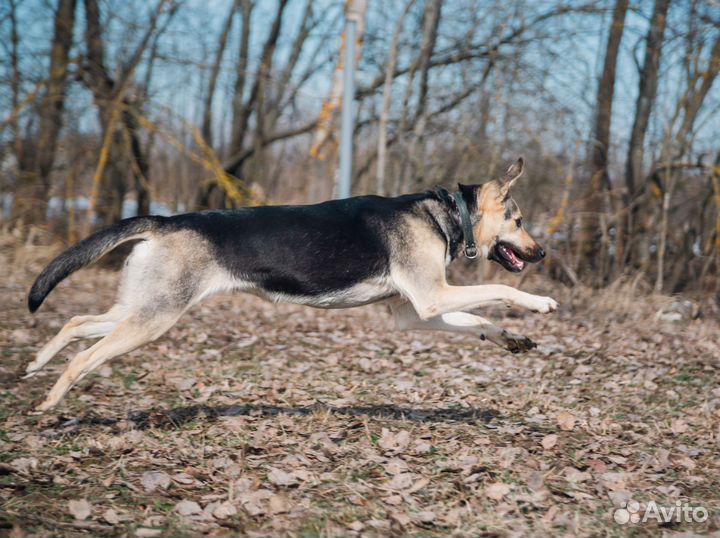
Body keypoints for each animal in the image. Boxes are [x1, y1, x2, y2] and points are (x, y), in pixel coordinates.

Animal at [26, 157, 556, 408]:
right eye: (520, 221)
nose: (544, 253)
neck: (448, 213)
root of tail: (164, 220)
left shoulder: (415, 313)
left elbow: (478, 321)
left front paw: (512, 338)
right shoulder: (432, 298)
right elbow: (500, 293)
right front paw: (539, 303)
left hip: (141, 308)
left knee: (75, 322)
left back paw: (35, 364)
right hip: (153, 318)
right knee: (84, 358)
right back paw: (51, 399)